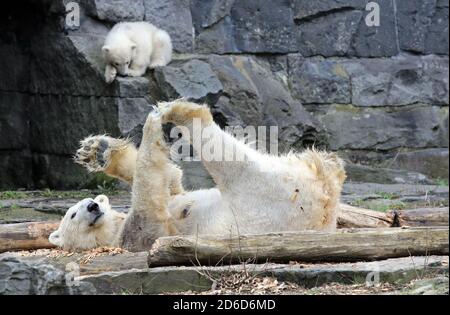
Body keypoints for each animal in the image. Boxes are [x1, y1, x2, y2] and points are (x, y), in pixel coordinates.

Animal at [67, 100, 344, 253]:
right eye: (72, 214)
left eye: (94, 202)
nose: (92, 205)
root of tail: (321, 217)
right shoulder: (141, 235)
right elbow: (150, 200)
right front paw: (150, 126)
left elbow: (171, 180)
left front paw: (98, 150)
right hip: (266, 196)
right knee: (229, 160)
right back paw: (179, 111)